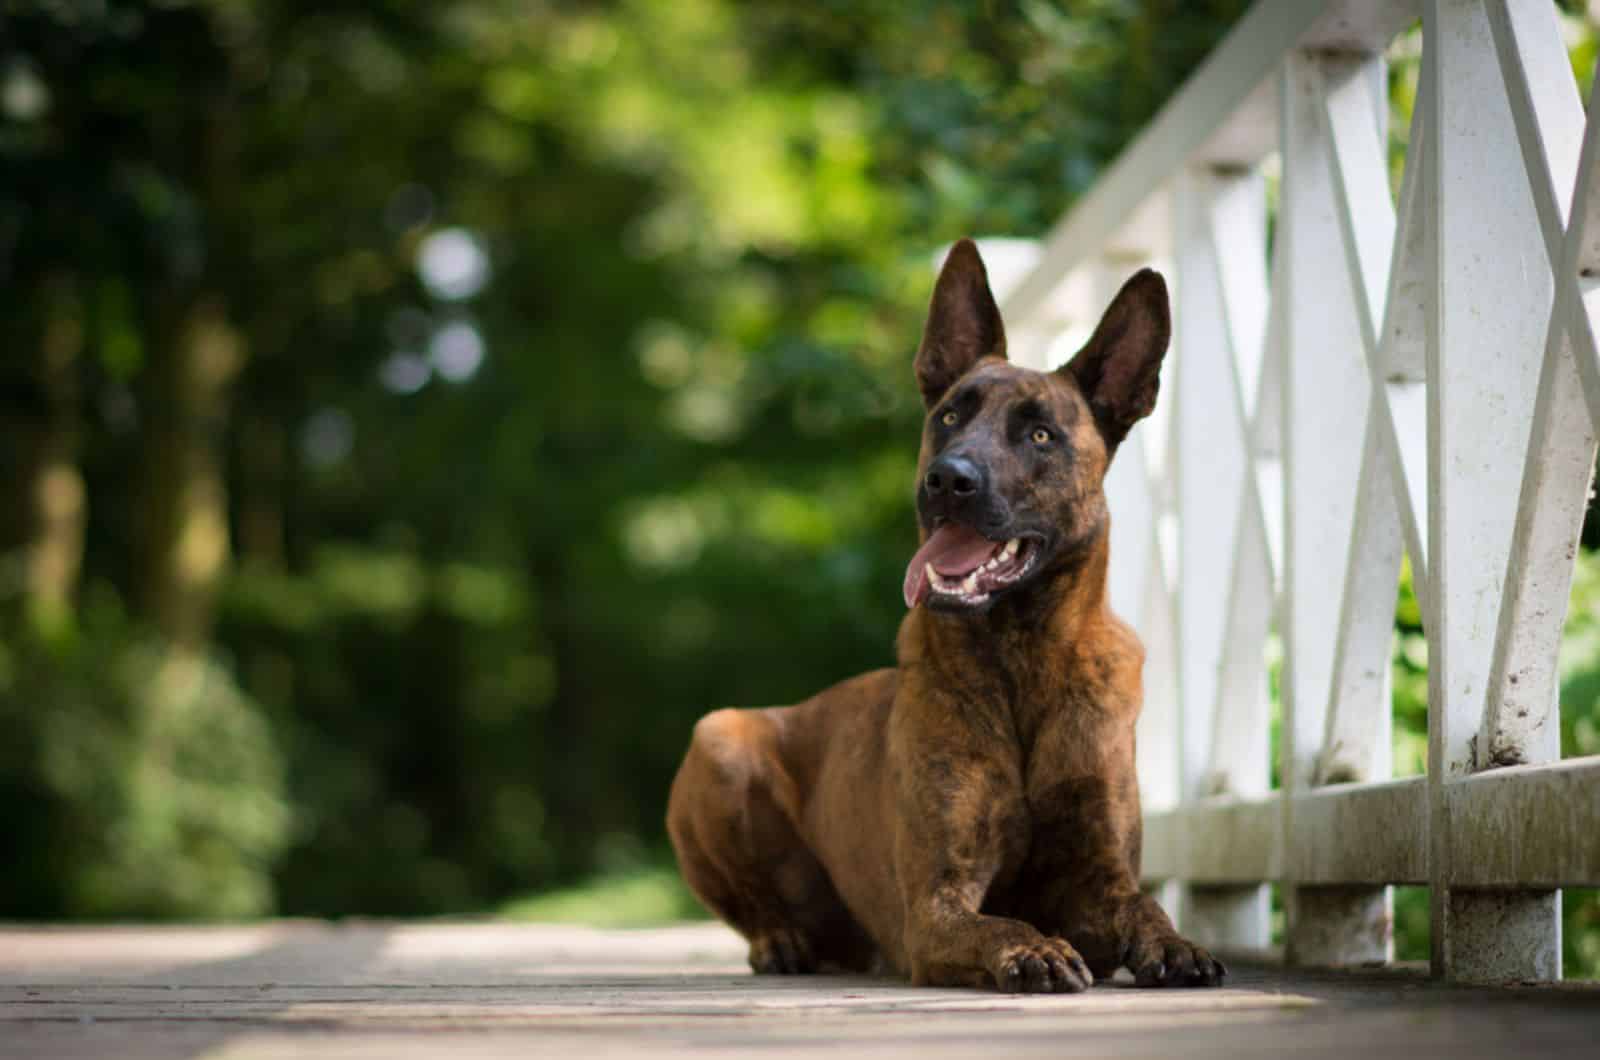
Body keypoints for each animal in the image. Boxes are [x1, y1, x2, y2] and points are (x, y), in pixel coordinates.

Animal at [662, 240, 1222, 999]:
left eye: (1040, 434)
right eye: (950, 417)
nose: (948, 480)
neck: (1021, 659)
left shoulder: (1100, 878)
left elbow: (1144, 905)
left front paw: (1175, 942)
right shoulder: (936, 901)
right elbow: (998, 922)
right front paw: (1033, 950)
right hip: (718, 739)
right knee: (756, 910)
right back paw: (781, 941)